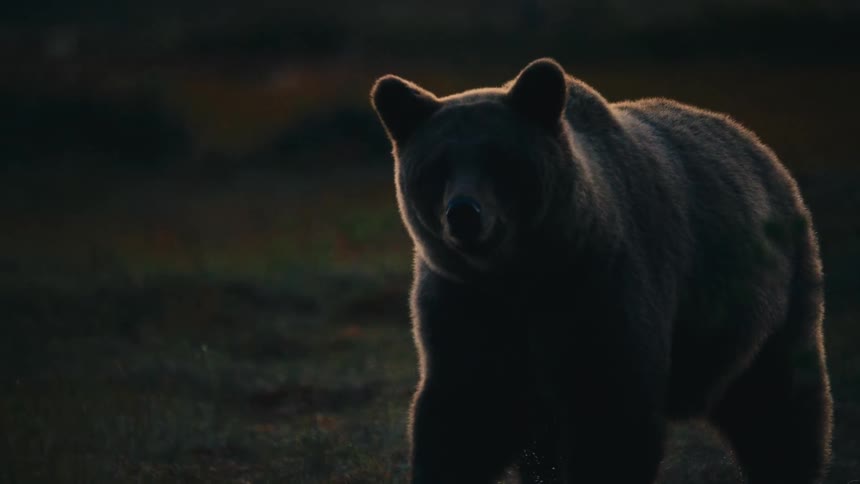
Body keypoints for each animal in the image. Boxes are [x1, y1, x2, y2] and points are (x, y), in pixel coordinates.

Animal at [370, 58, 833, 484]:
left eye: (500, 161)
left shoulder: (601, 292)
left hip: (771, 303)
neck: (519, 274)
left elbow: (611, 420)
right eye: (436, 167)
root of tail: (756, 145)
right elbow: (463, 419)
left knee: (780, 407)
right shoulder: (465, 306)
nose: (464, 213)